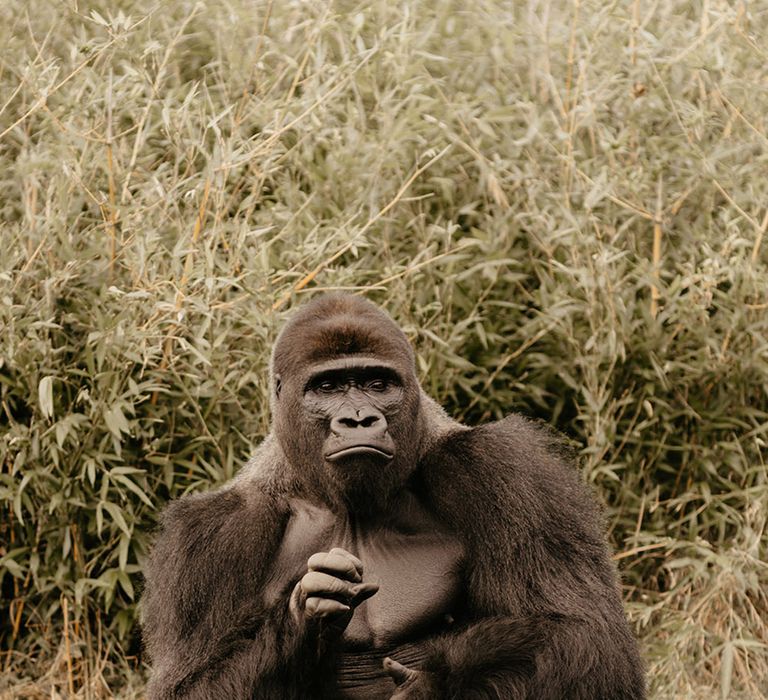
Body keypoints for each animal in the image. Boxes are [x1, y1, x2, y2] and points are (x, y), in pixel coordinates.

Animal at [141, 294, 644, 700]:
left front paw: (433, 686)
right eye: (328, 387)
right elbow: (192, 686)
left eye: (377, 384)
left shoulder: (503, 471)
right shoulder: (215, 537)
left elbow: (585, 638)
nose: (359, 420)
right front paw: (304, 617)